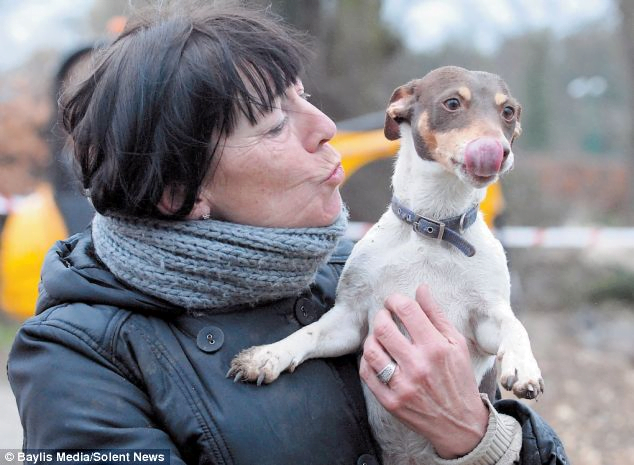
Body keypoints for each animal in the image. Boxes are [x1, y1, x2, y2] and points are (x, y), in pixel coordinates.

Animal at [228, 66, 544, 464]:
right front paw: (267, 355)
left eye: (508, 112)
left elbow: (516, 327)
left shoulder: (486, 320)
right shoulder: (350, 320)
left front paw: (524, 367)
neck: (433, 228)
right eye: (452, 103)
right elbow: (307, 334)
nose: (497, 152)